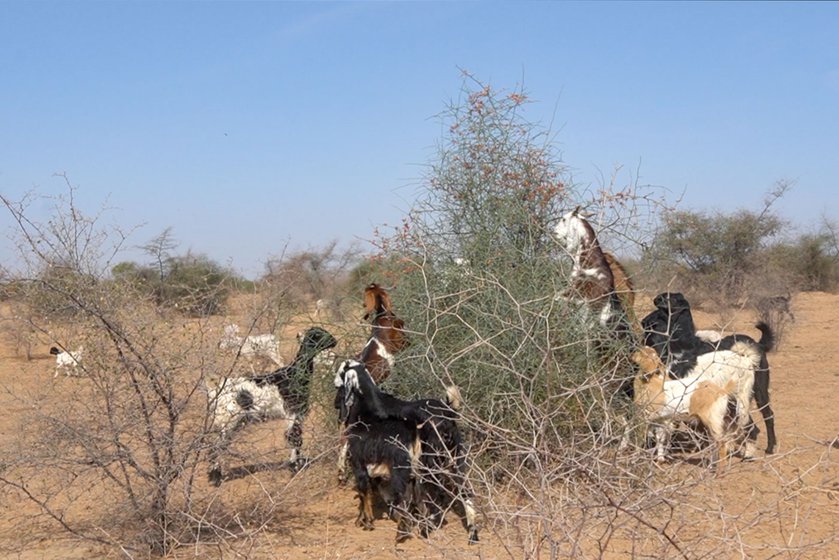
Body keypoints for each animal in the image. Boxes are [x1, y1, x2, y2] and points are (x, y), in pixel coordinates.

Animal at [207, 326, 338, 484]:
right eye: (318, 335)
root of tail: (214, 393)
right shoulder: (293, 413)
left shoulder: (298, 415)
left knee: (220, 447)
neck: (294, 374)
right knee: (214, 448)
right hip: (227, 421)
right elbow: (294, 438)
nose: (335, 341)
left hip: (233, 424)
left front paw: (297, 463)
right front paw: (295, 466)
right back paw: (216, 477)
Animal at [334, 360, 480, 544]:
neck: (369, 409)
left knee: (417, 496)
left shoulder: (359, 463)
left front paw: (366, 522)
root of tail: (448, 412)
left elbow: (364, 492)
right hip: (453, 461)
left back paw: (405, 534)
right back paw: (470, 533)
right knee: (464, 491)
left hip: (415, 468)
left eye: (341, 373)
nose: (336, 404)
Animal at [632, 342, 760, 468]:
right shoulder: (661, 418)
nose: (633, 352)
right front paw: (660, 458)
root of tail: (746, 359)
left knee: (744, 429)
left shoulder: (649, 417)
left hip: (735, 407)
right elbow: (660, 437)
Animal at [644, 294, 780, 456]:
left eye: (670, 299)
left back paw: (767, 447)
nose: (656, 299)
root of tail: (756, 345)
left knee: (765, 417)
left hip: (755, 391)